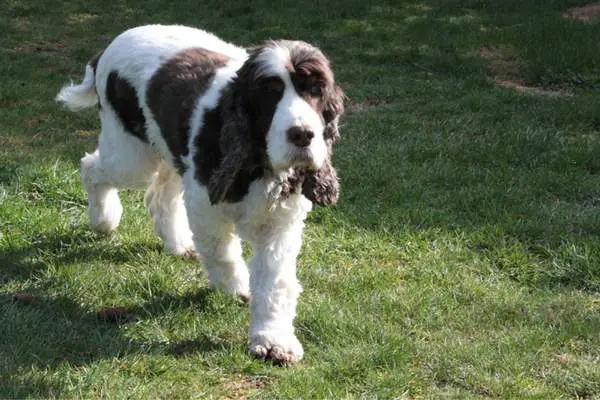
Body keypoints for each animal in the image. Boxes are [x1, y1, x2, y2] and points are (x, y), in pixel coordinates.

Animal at [59, 23, 346, 364]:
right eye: (270, 92)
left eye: (315, 90)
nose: (302, 135)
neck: (257, 162)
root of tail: (108, 47)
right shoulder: (206, 206)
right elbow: (222, 252)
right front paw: (236, 287)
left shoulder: (280, 223)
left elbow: (275, 283)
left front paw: (273, 339)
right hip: (132, 155)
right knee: (92, 168)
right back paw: (104, 219)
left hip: (170, 154)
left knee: (160, 196)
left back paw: (178, 244)